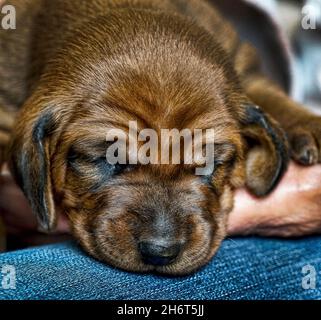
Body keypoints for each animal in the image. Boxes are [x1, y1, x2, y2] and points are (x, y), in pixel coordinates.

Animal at [1, 0, 320, 276]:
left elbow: (267, 93)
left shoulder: (243, 64)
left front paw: (309, 125)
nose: (160, 252)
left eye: (208, 165)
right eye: (108, 160)